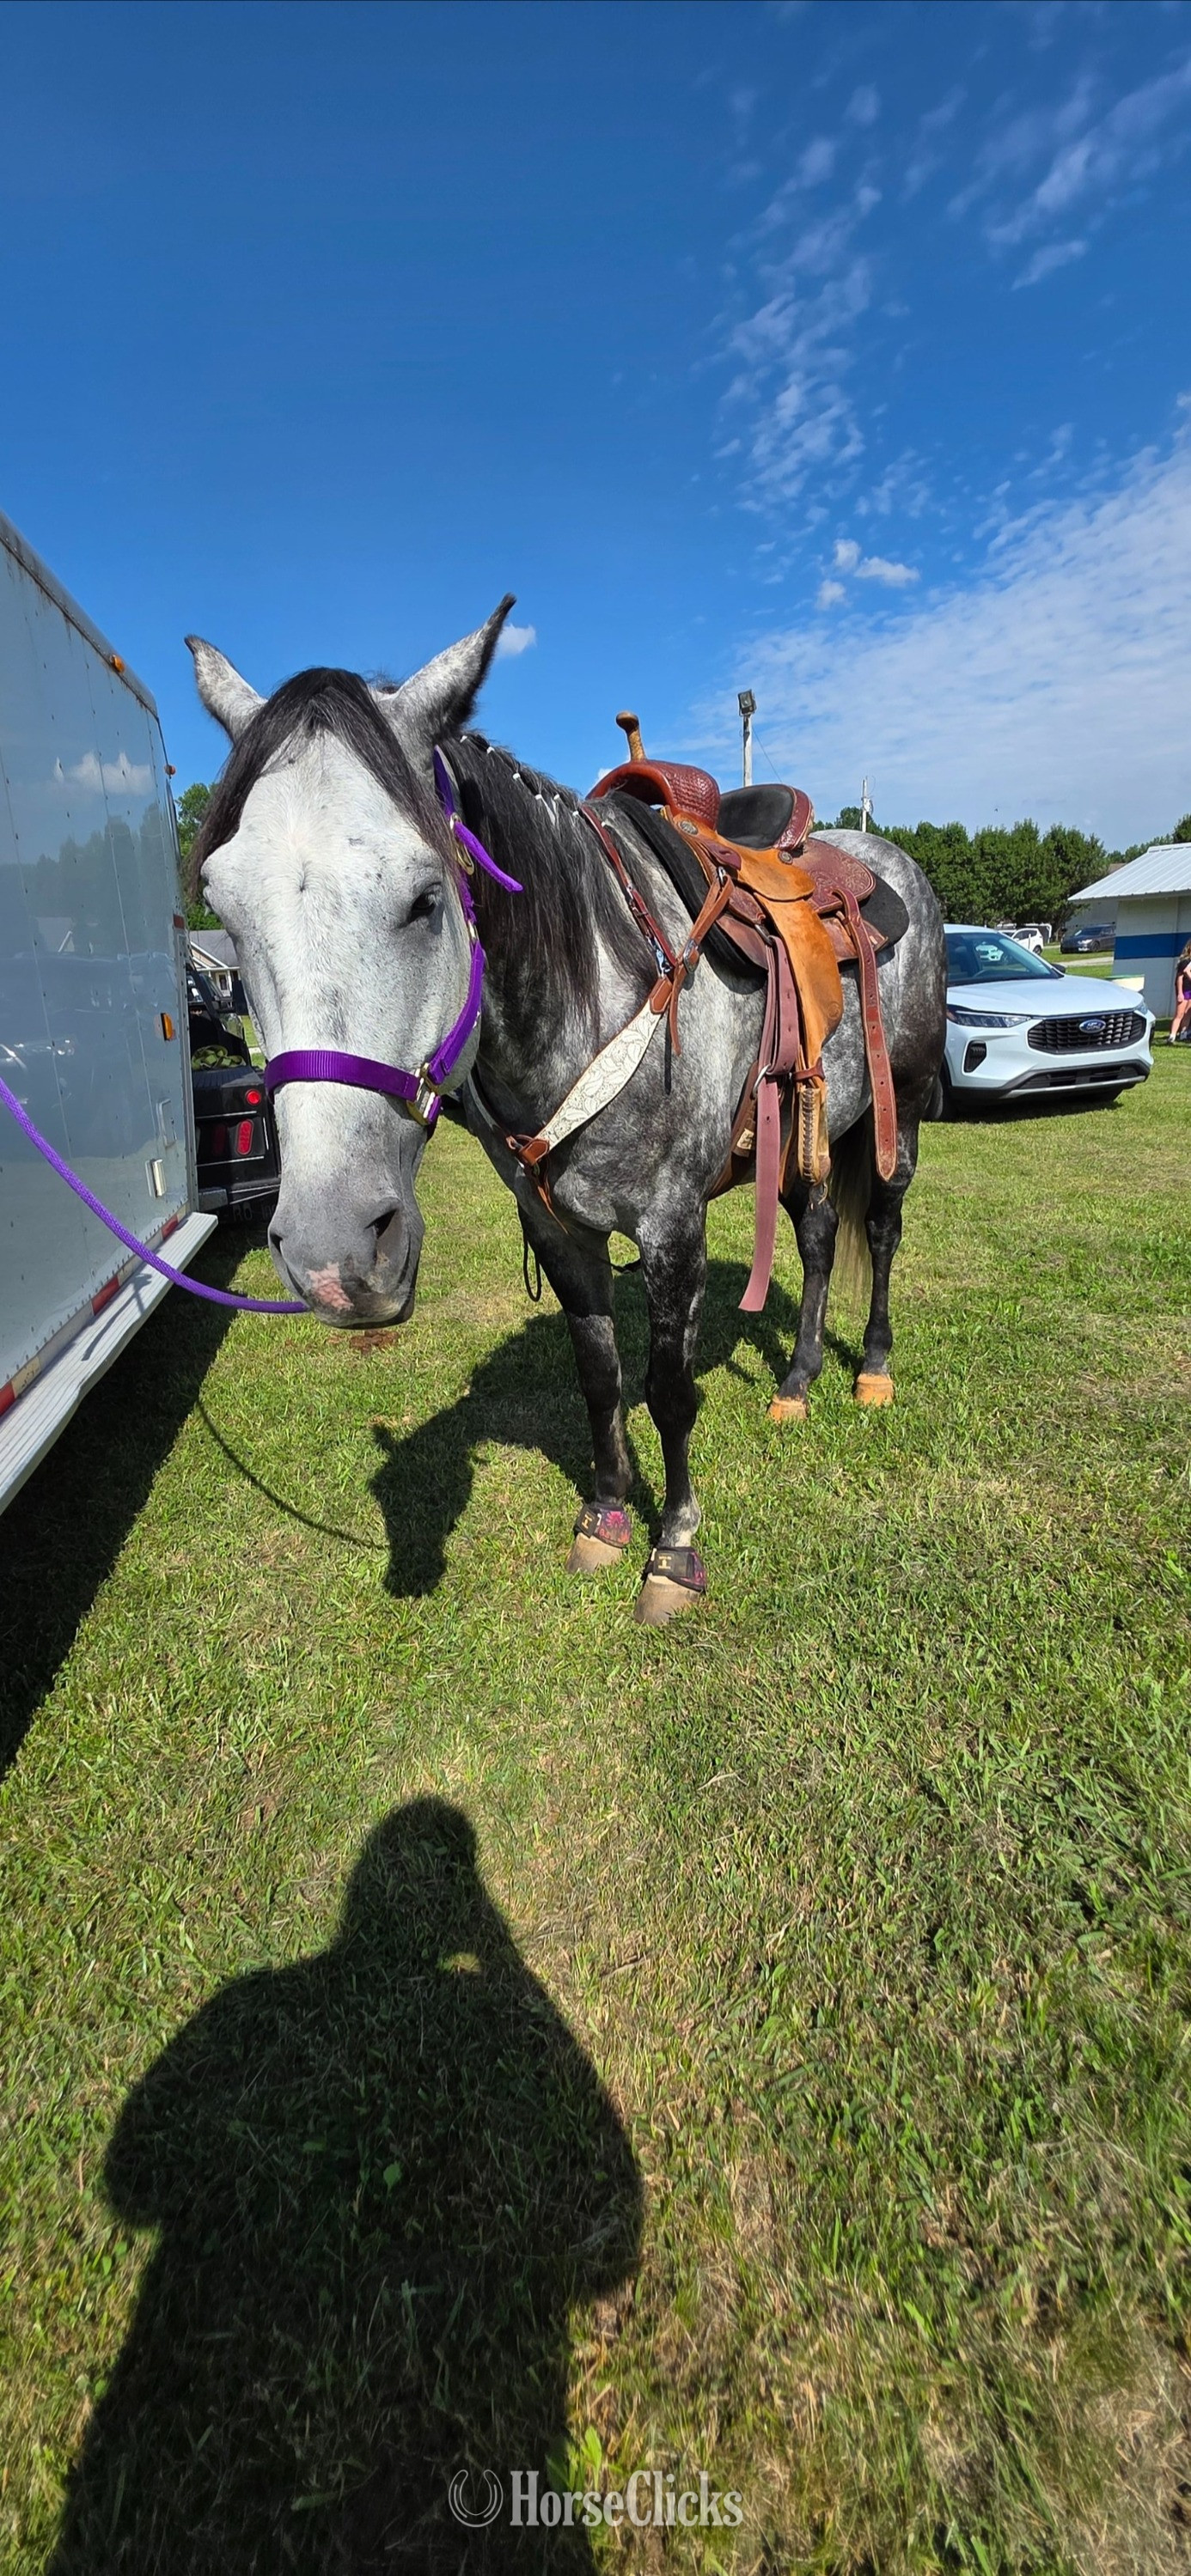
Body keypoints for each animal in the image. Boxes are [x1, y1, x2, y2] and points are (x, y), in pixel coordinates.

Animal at [186, 600, 946, 1623]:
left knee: (885, 1230)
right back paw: (795, 1378)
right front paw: (607, 1514)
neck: (597, 984)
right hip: (805, 1133)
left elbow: (668, 1388)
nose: (335, 1255)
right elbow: (599, 1374)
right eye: (224, 909)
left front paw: (674, 1547)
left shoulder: (672, 1227)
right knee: (822, 1234)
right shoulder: (557, 1227)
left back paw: (870, 1368)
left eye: (426, 898)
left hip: (898, 1119)